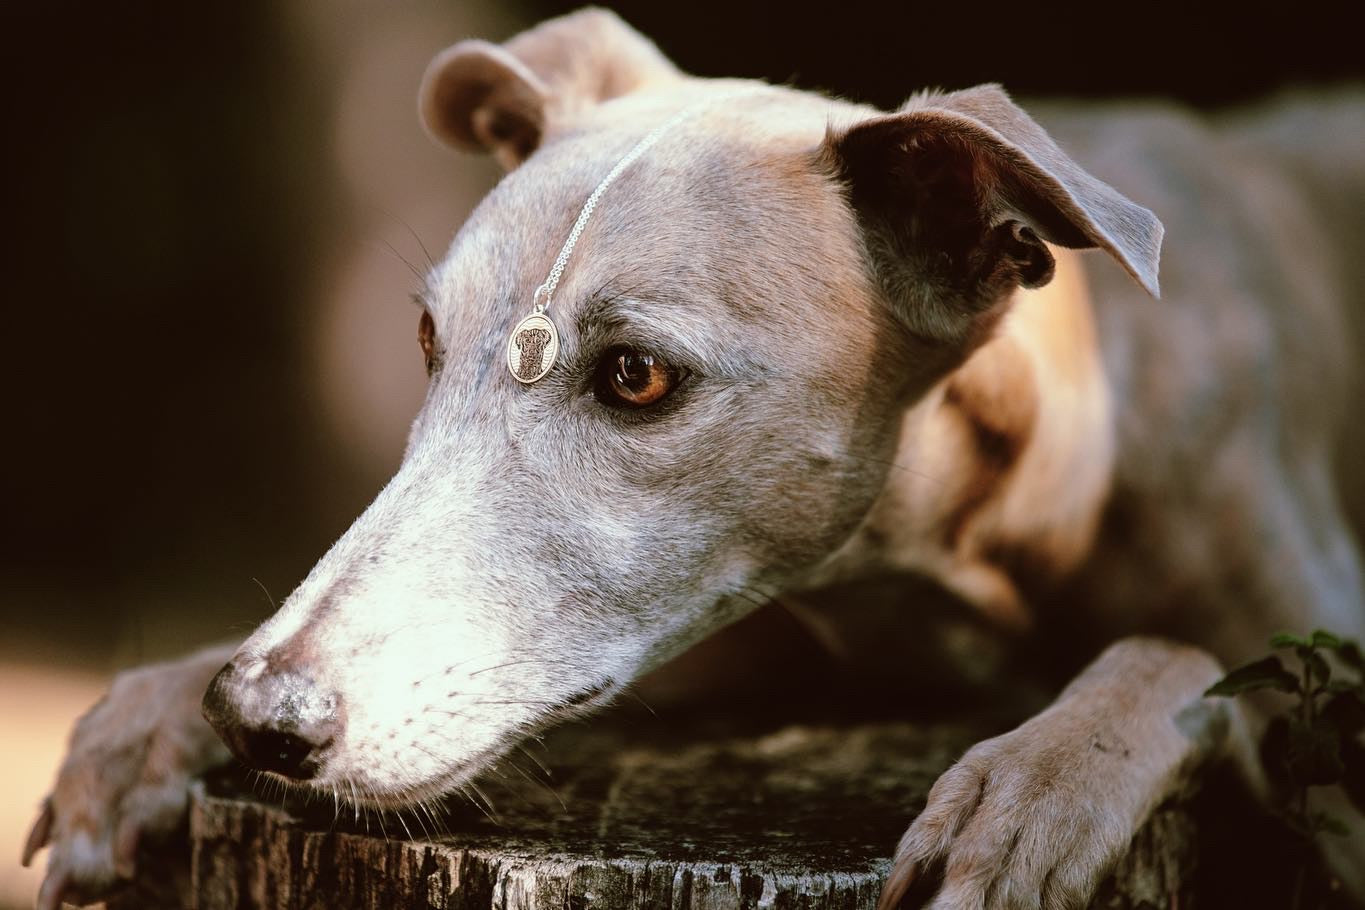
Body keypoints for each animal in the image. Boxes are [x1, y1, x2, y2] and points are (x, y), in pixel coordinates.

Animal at [24, 8, 1365, 910]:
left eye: (637, 375)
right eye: (427, 338)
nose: (257, 715)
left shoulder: (1327, 687)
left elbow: (1188, 661)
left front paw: (1031, 791)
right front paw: (152, 715)